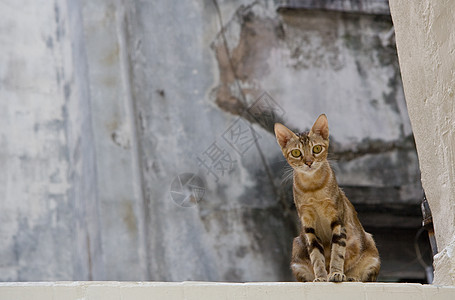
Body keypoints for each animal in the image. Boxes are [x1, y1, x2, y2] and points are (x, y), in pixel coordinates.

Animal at [274, 113, 382, 282]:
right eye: (296, 153)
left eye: (317, 149)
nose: (309, 162)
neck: (312, 189)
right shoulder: (308, 225)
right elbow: (316, 255)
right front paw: (320, 277)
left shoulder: (337, 219)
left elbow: (337, 251)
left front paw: (336, 273)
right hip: (297, 249)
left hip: (372, 250)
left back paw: (351, 277)